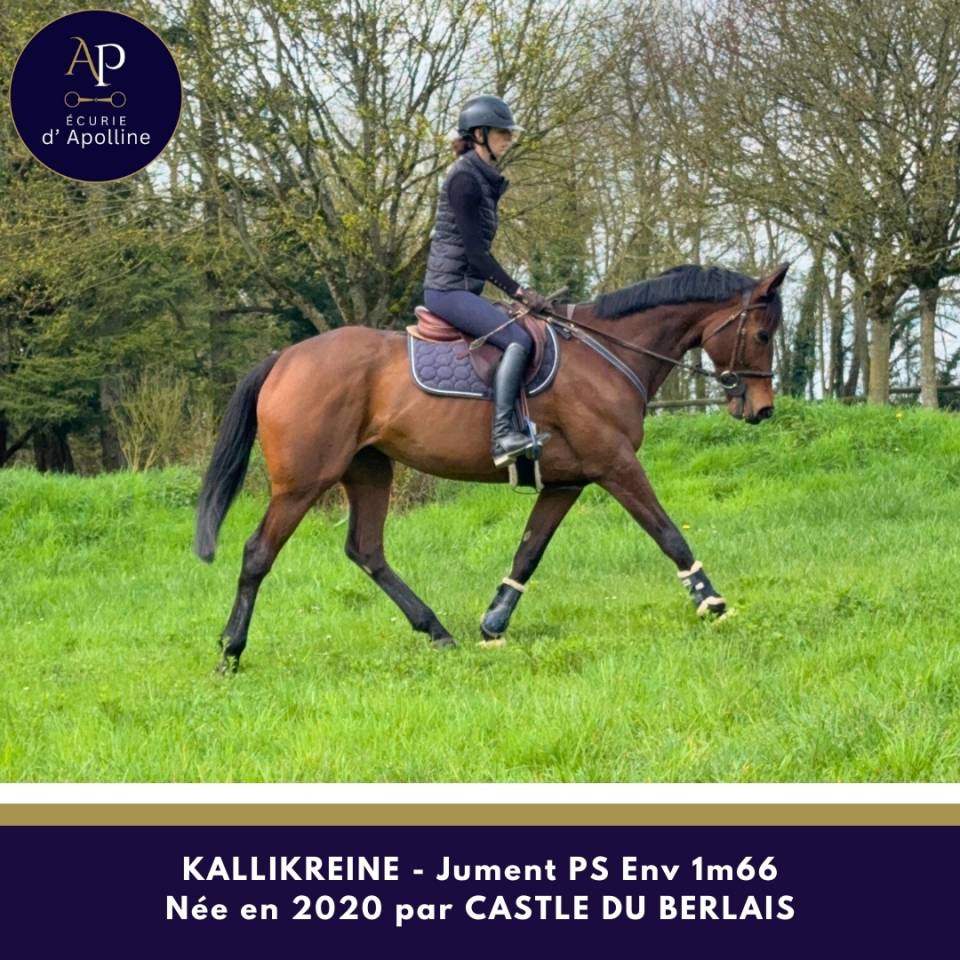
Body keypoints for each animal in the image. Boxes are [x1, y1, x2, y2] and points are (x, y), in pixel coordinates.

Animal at [195, 262, 788, 673]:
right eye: (762, 335)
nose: (762, 409)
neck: (606, 355)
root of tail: (285, 358)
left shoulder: (567, 481)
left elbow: (528, 551)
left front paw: (494, 624)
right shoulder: (615, 465)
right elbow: (668, 534)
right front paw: (712, 602)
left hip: (368, 470)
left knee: (366, 550)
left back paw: (436, 630)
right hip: (303, 482)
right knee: (258, 554)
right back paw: (230, 653)